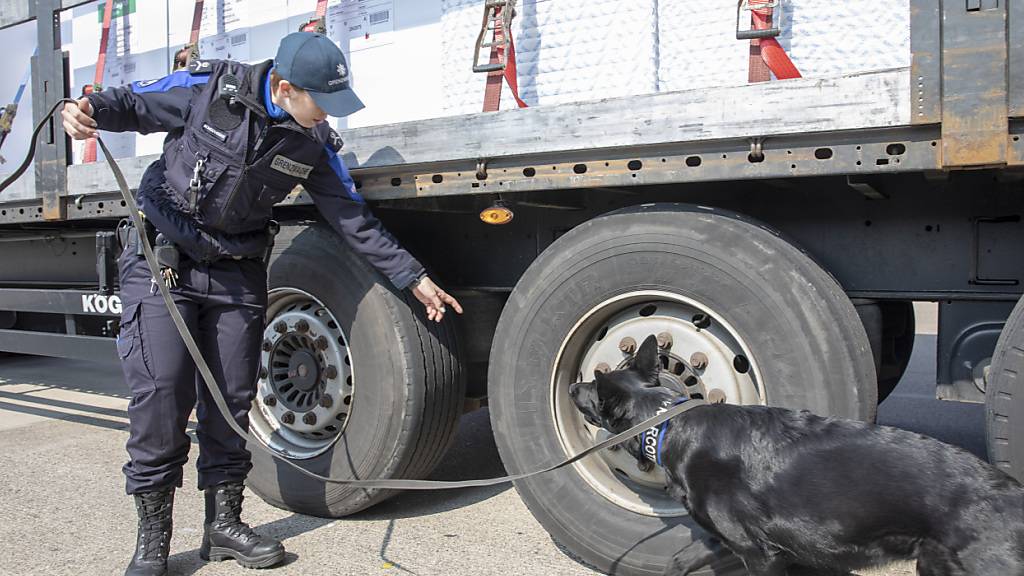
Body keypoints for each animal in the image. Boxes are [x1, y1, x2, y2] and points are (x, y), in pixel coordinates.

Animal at [569, 334, 1024, 569]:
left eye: (593, 387)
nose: (572, 386)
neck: (667, 423)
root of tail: (1013, 495)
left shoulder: (759, 553)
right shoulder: (733, 543)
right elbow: (682, 559)